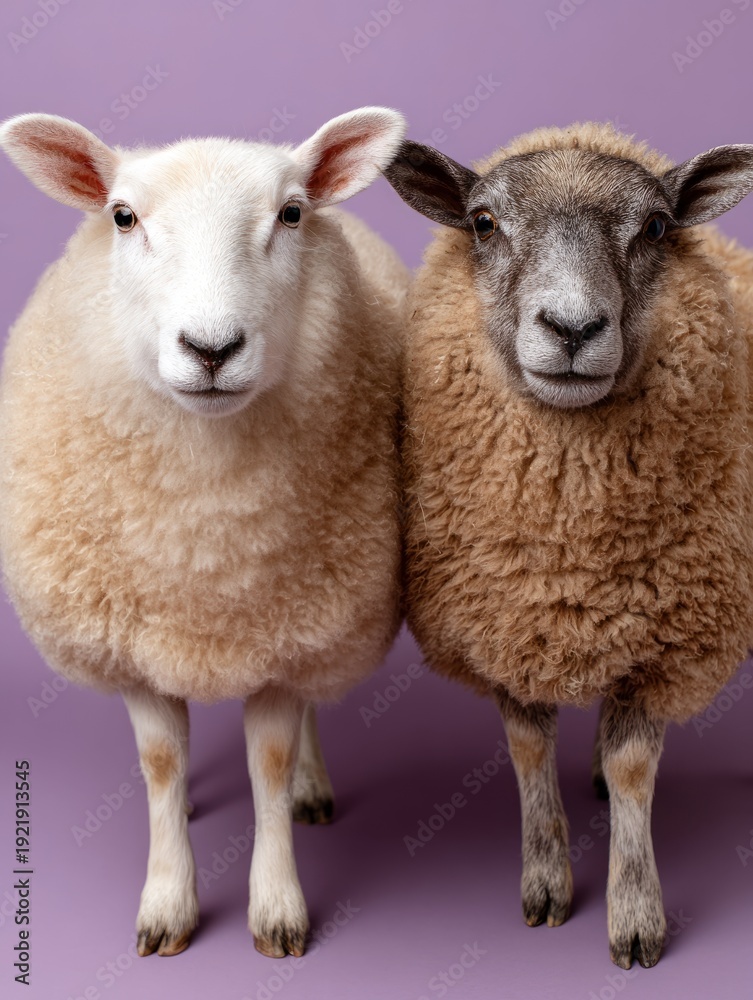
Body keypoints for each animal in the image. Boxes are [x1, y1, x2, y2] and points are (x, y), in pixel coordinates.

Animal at [0, 107, 408, 959]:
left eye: (292, 213)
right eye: (123, 216)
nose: (211, 349)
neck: (204, 543)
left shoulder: (286, 635)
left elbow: (270, 762)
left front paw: (277, 907)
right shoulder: (131, 645)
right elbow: (161, 762)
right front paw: (168, 901)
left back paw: (312, 788)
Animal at [383, 122, 753, 970]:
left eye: (656, 227)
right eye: (483, 222)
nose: (573, 329)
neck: (569, 551)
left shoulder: (665, 643)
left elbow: (633, 766)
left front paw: (635, 915)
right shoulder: (508, 628)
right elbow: (528, 750)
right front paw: (546, 881)